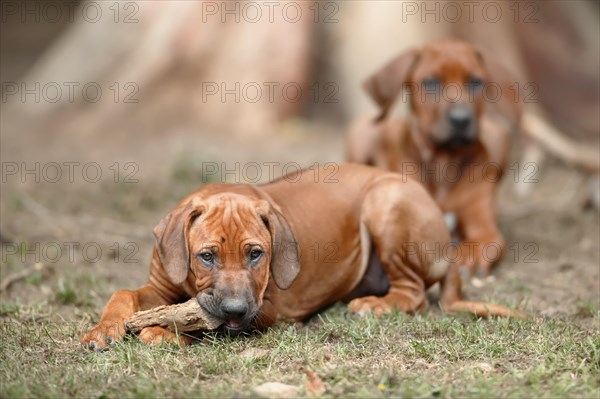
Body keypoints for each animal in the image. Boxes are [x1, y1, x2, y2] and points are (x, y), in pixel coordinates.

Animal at [82, 162, 524, 350]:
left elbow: (205, 324)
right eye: (206, 256)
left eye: (256, 254)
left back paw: (377, 304)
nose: (235, 309)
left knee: (414, 293)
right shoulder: (159, 286)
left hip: (386, 199)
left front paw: (164, 331)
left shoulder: (266, 307)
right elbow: (123, 294)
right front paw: (103, 329)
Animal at [350, 39, 524, 278]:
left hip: (498, 135)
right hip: (361, 131)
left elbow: (485, 242)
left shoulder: (484, 226)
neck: (444, 162)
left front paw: (467, 257)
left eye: (475, 82)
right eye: (431, 82)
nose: (461, 120)